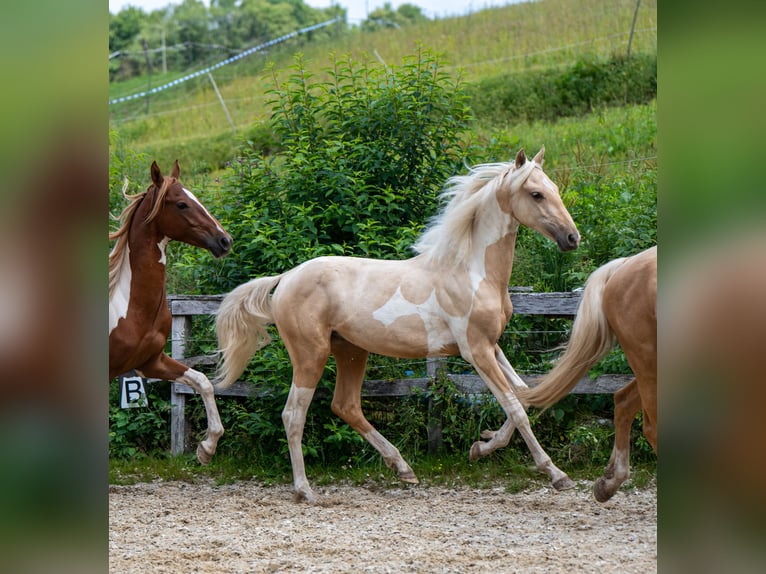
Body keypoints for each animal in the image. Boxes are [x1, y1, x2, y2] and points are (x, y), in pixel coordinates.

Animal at [109, 160, 232, 464]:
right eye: (181, 204)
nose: (225, 241)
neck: (128, 308)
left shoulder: (151, 361)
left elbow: (202, 381)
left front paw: (206, 447)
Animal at [215, 147, 581, 503]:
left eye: (554, 188)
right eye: (536, 194)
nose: (572, 238)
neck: (472, 273)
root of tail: (286, 277)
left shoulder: (491, 346)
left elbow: (523, 394)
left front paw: (481, 446)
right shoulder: (475, 350)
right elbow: (516, 407)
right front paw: (556, 475)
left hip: (350, 351)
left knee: (345, 405)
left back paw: (403, 468)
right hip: (310, 355)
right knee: (293, 414)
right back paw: (305, 490)